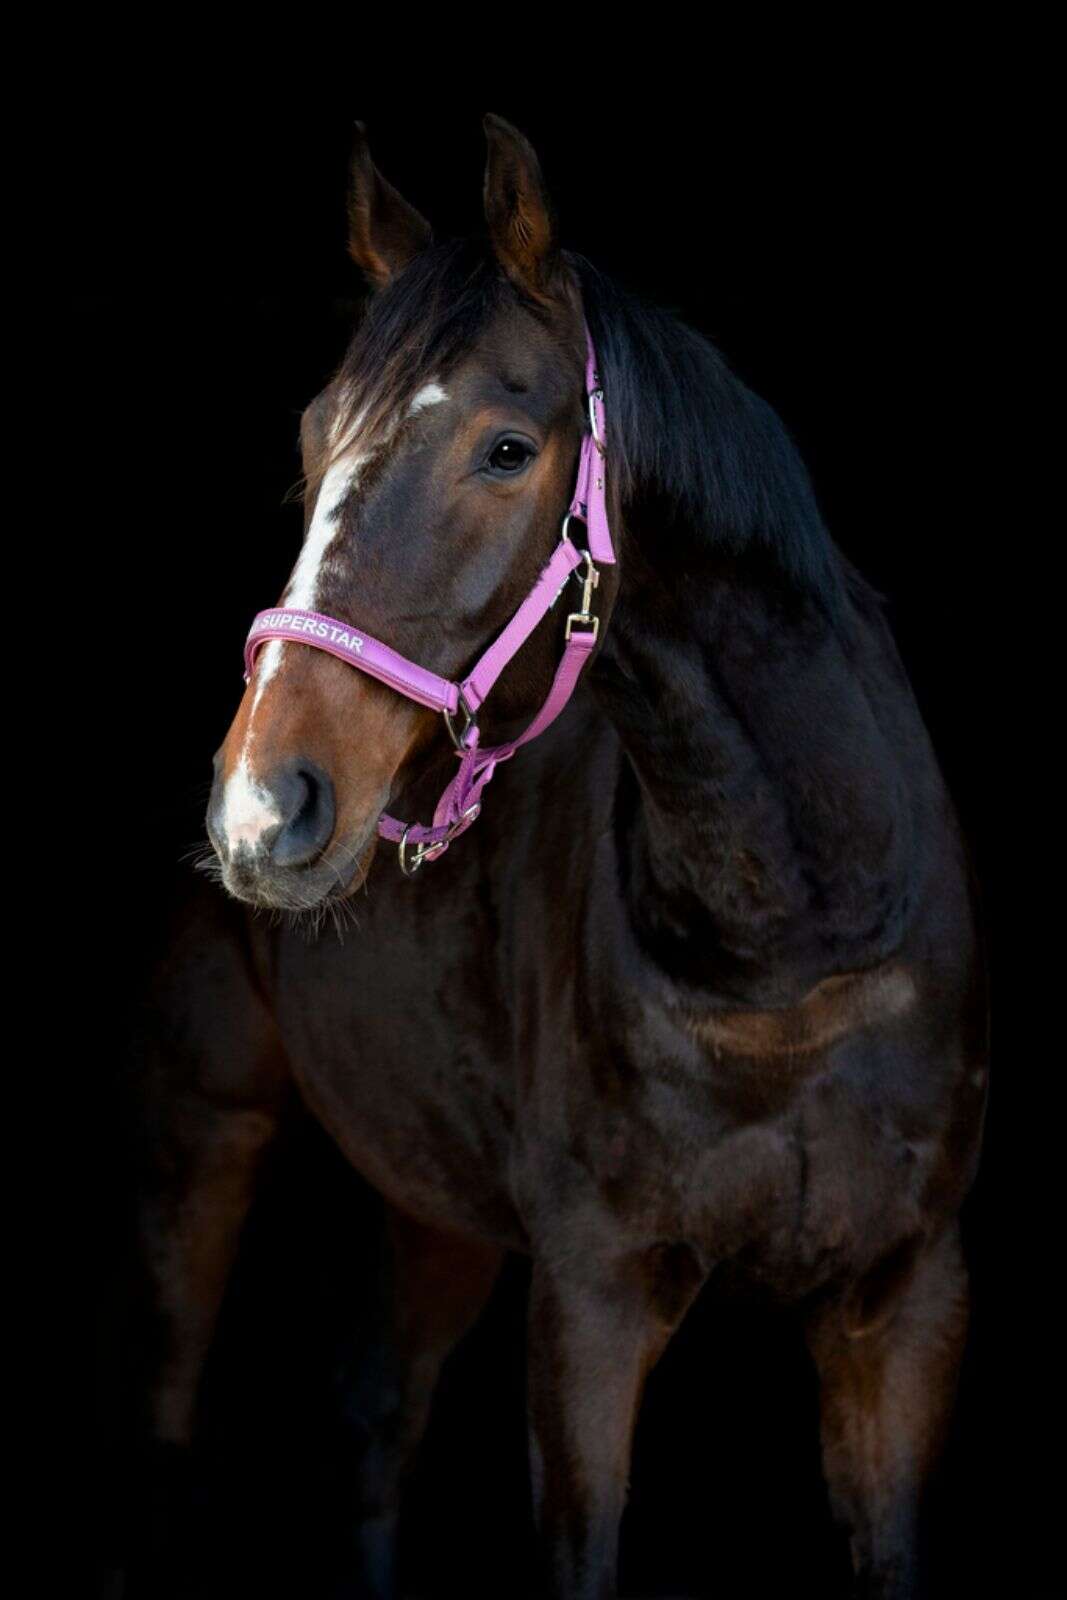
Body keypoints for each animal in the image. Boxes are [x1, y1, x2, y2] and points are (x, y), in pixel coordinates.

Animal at [127, 113, 988, 1599]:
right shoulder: (591, 1296)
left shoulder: (902, 1302)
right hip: (210, 1122)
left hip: (431, 1196)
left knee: (375, 1414)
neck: (797, 937)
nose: (260, 809)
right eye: (311, 436)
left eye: (505, 447)